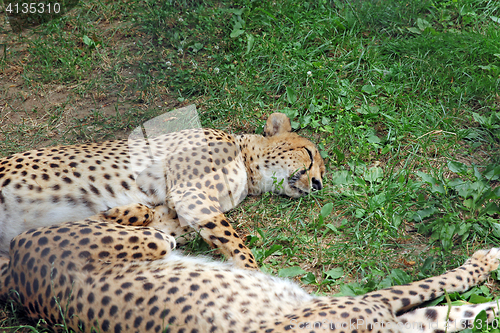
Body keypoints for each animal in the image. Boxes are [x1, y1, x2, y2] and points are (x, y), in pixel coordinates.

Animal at [0, 113, 326, 268]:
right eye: (309, 154)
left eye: (321, 173)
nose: (318, 184)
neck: (247, 167)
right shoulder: (190, 193)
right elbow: (235, 241)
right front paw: (253, 273)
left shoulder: (178, 210)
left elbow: (151, 219)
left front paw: (118, 215)